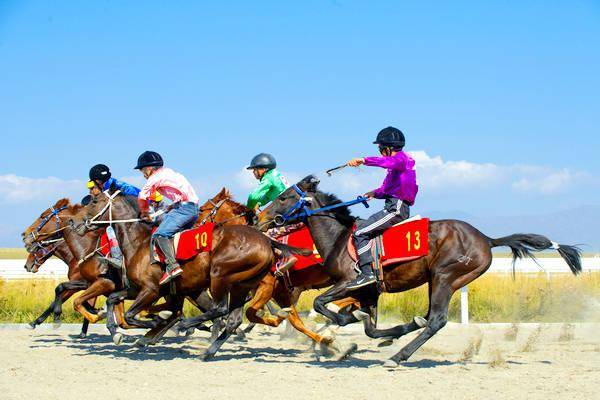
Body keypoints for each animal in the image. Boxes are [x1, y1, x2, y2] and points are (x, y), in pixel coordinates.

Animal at [74, 188, 310, 360]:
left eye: (94, 201)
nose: (75, 223)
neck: (138, 242)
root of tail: (267, 241)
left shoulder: (151, 290)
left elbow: (133, 315)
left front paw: (154, 325)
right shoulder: (136, 289)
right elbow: (113, 300)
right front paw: (116, 333)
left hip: (219, 276)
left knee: (220, 309)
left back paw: (188, 326)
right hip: (240, 285)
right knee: (232, 318)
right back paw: (209, 350)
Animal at [256, 175, 580, 366]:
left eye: (283, 196)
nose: (261, 218)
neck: (338, 237)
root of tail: (486, 239)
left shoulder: (352, 281)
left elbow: (320, 303)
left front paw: (338, 328)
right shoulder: (369, 292)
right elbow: (370, 328)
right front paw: (383, 331)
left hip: (446, 277)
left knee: (437, 320)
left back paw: (398, 356)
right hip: (439, 280)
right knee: (427, 318)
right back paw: (404, 335)